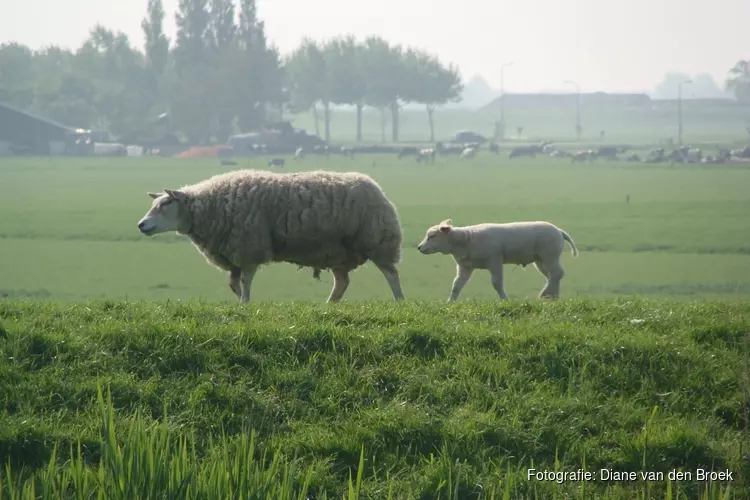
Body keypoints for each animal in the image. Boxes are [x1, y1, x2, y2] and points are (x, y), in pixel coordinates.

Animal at [135, 168, 406, 302]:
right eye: (155, 203)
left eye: (165, 204)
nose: (141, 225)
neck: (209, 207)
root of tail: (376, 187)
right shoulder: (233, 254)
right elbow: (233, 283)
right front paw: (240, 302)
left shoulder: (248, 249)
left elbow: (245, 282)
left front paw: (245, 303)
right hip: (338, 252)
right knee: (342, 282)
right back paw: (329, 306)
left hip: (378, 241)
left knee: (391, 274)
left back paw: (399, 301)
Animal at [418, 218, 580, 300]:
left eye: (432, 236)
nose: (419, 248)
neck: (466, 239)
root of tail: (559, 231)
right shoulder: (465, 266)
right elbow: (456, 285)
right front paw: (450, 303)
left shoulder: (494, 259)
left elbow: (496, 283)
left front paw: (504, 300)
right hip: (540, 260)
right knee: (552, 276)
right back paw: (552, 297)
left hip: (549, 255)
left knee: (557, 273)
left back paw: (546, 294)